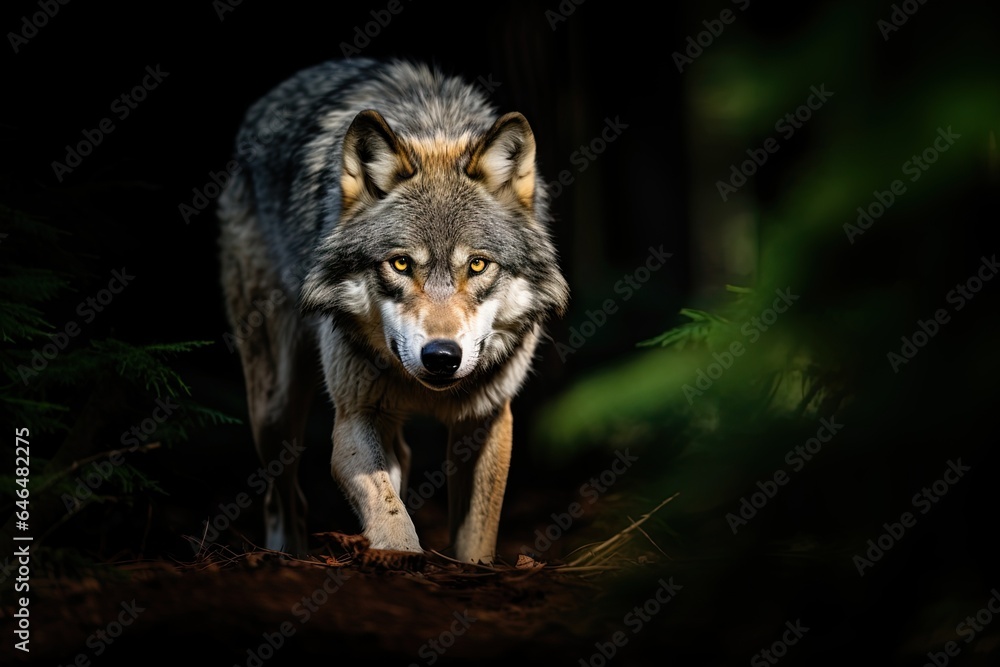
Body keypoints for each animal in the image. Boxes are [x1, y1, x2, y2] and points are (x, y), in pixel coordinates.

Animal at [218, 59, 569, 564]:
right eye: (401, 263)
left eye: (478, 264)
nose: (441, 357)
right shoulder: (354, 415)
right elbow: (389, 513)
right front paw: (400, 557)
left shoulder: (487, 420)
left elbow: (475, 536)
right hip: (274, 409)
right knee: (283, 498)